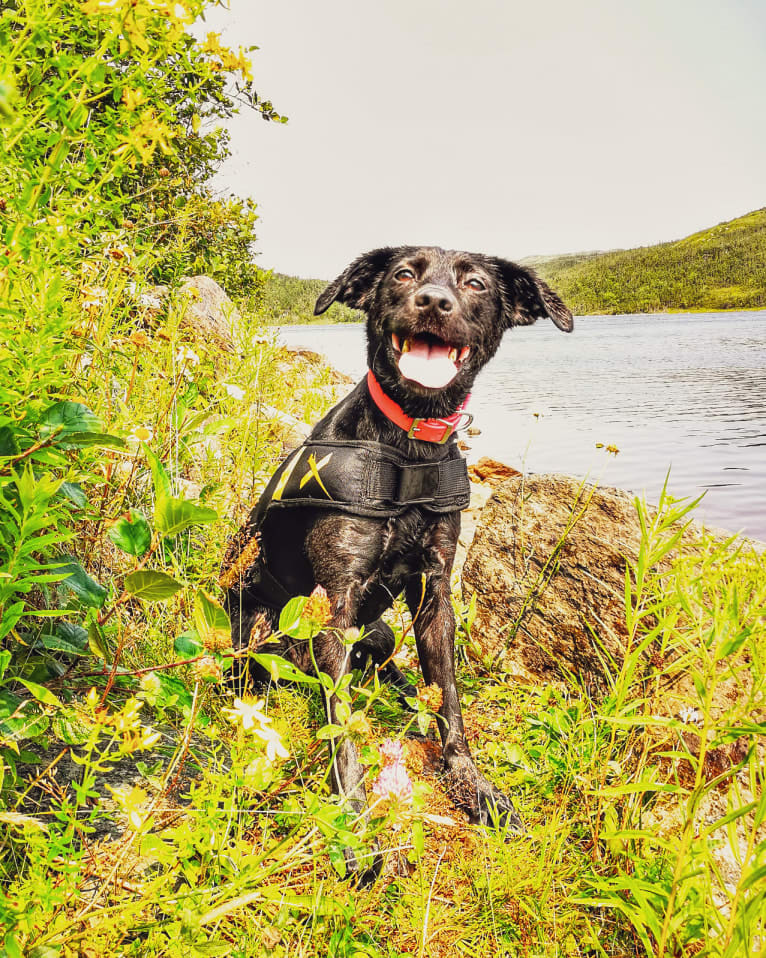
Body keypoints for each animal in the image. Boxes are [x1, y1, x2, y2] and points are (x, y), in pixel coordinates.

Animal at [222, 249, 568, 884]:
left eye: (475, 283)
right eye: (404, 274)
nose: (433, 301)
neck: (409, 444)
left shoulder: (435, 594)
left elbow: (450, 700)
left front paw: (474, 785)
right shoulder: (336, 603)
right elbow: (342, 730)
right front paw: (353, 821)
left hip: (379, 632)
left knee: (391, 670)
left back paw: (405, 692)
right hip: (259, 627)